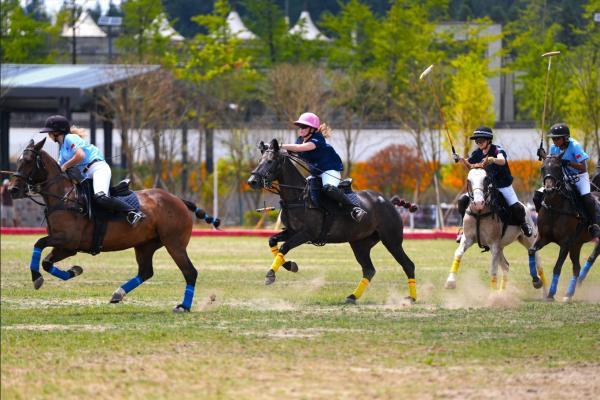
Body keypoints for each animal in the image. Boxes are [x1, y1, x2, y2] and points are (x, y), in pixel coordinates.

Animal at [8, 138, 218, 312]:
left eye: (28, 161)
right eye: (18, 161)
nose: (12, 189)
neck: (65, 198)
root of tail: (179, 200)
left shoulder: (67, 239)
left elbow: (38, 243)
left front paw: (36, 278)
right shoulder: (68, 247)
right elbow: (46, 261)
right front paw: (74, 270)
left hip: (174, 243)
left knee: (190, 272)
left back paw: (184, 306)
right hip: (145, 245)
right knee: (146, 272)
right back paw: (118, 294)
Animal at [246, 140, 414, 304]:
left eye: (270, 161)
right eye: (259, 161)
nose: (252, 181)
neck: (298, 197)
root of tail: (389, 202)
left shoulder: (307, 233)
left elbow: (284, 247)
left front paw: (270, 275)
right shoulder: (292, 231)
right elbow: (272, 240)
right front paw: (290, 265)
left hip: (391, 240)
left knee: (408, 264)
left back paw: (411, 298)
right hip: (360, 244)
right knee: (369, 270)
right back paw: (352, 297)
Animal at [528, 155, 600, 302]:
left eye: (557, 167)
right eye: (543, 168)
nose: (549, 189)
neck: (554, 207)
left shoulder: (565, 243)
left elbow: (557, 267)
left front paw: (551, 294)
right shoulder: (544, 238)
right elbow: (531, 251)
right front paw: (536, 281)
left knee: (592, 256)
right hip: (576, 244)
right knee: (577, 267)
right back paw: (569, 293)